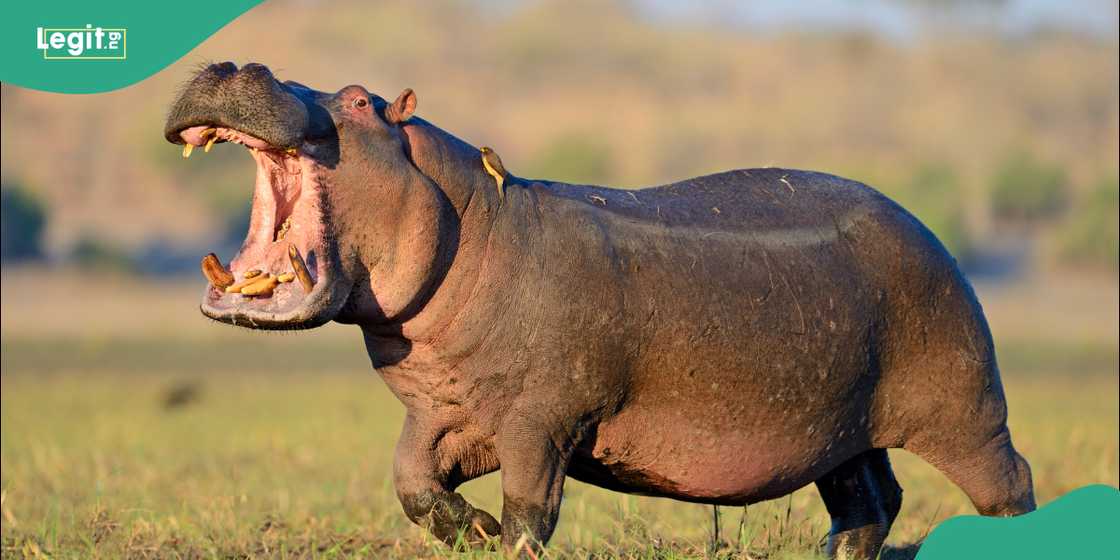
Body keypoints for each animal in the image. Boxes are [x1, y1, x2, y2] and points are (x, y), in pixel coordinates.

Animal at [164, 62, 1035, 559]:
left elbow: (530, 509)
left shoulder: (540, 418)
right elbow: (410, 483)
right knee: (868, 502)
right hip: (843, 426)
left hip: (965, 406)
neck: (469, 214)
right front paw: (471, 532)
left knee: (1007, 483)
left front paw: (503, 541)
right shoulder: (442, 413)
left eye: (357, 100)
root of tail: (927, 229)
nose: (238, 61)